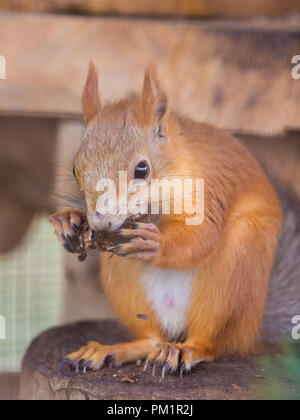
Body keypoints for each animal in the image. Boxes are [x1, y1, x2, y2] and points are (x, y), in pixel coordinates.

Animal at [48, 63, 284, 378]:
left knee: (210, 340)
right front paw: (68, 221)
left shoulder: (209, 189)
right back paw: (112, 350)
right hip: (126, 281)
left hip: (236, 271)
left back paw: (187, 350)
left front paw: (155, 244)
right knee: (150, 339)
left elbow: (202, 236)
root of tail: (253, 330)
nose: (99, 222)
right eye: (75, 168)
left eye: (142, 169)